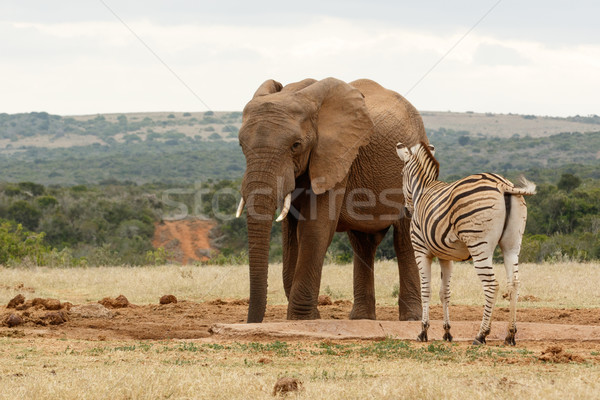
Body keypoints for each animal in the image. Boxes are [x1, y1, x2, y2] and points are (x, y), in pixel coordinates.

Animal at [237, 77, 428, 322]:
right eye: (241, 145)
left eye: (296, 145)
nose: (251, 322)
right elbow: (291, 234)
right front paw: (311, 317)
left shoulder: (337, 156)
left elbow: (314, 229)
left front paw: (303, 319)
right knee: (363, 244)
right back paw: (361, 319)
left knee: (404, 239)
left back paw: (411, 318)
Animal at [396, 142, 536, 346]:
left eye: (401, 174)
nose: (407, 211)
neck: (423, 190)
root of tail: (502, 184)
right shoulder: (446, 257)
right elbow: (444, 292)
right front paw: (447, 333)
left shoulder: (421, 251)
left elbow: (426, 290)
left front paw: (423, 331)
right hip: (512, 245)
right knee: (514, 284)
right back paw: (510, 334)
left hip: (480, 246)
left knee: (491, 285)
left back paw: (481, 334)